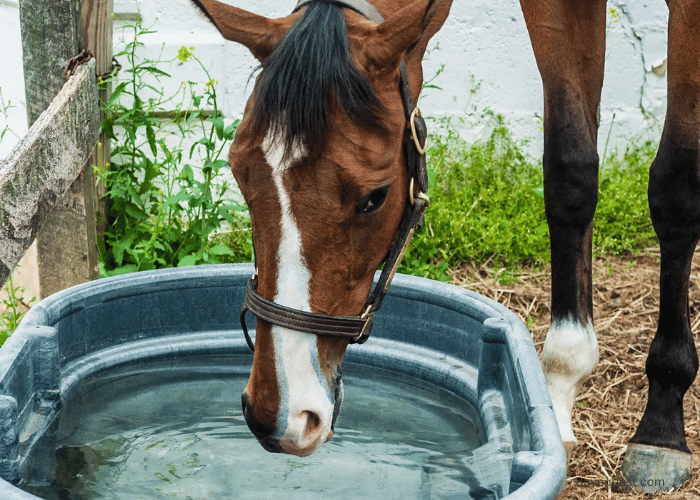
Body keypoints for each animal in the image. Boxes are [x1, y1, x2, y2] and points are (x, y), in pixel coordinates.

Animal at [187, 0, 696, 492]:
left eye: (375, 197)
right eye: (240, 173)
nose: (278, 415)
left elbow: (676, 187)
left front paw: (662, 423)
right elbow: (570, 173)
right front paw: (558, 399)